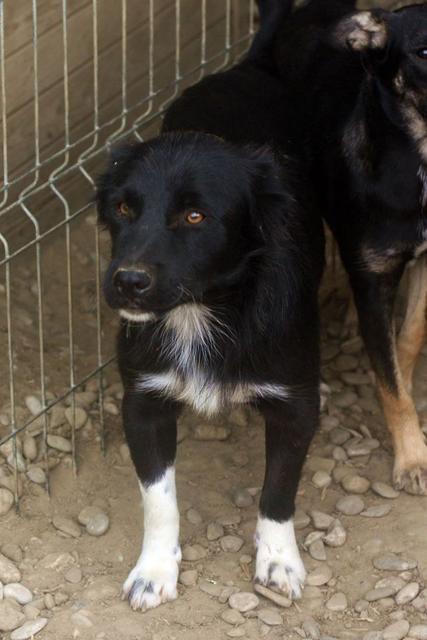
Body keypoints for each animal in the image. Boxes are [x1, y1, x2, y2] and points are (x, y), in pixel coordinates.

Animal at [97, 5, 324, 616]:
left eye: (195, 217)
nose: (127, 283)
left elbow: (279, 491)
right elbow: (159, 500)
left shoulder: (296, 403)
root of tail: (248, 64)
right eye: (122, 208)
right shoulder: (143, 401)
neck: (200, 312)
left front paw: (279, 562)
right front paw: (154, 571)